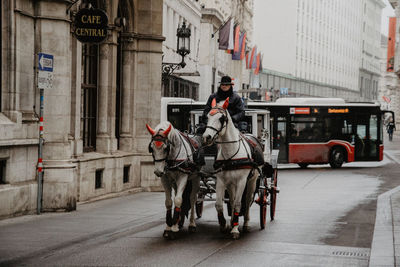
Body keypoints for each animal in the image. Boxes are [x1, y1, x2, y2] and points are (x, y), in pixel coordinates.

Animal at [202, 97, 258, 240]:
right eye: (207, 117)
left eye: (222, 118)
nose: (206, 137)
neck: (231, 153)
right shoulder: (221, 180)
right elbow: (219, 204)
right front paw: (224, 224)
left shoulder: (242, 181)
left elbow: (238, 204)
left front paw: (235, 230)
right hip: (231, 183)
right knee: (232, 200)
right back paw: (233, 220)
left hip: (252, 181)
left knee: (247, 200)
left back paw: (245, 224)